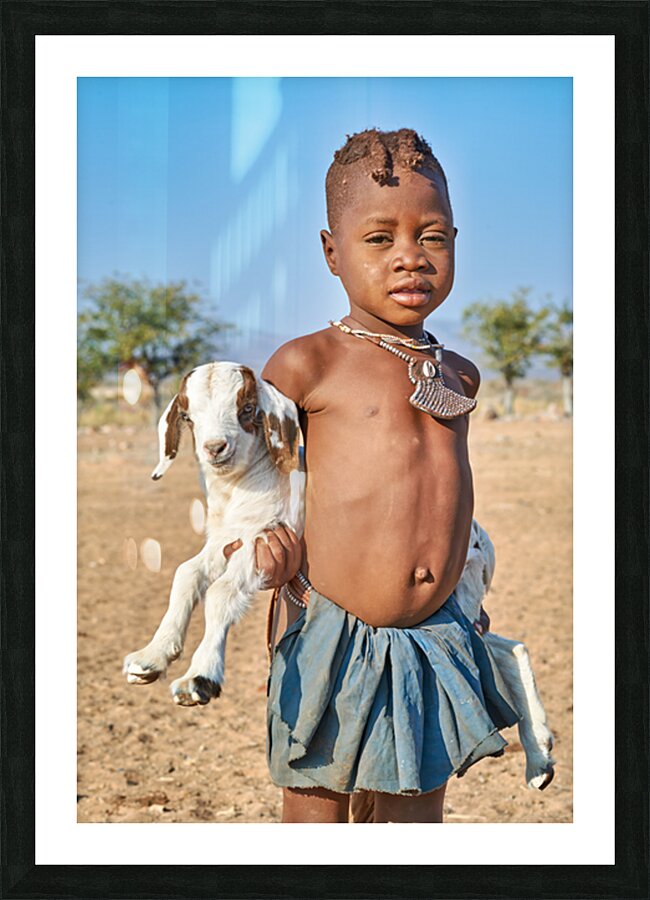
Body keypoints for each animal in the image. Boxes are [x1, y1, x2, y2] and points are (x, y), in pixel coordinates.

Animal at [123, 362, 303, 706]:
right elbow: (186, 573)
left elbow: (222, 591)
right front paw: (152, 656)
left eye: (247, 408)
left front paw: (200, 677)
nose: (214, 448)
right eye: (188, 417)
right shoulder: (224, 538)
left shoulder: (259, 534)